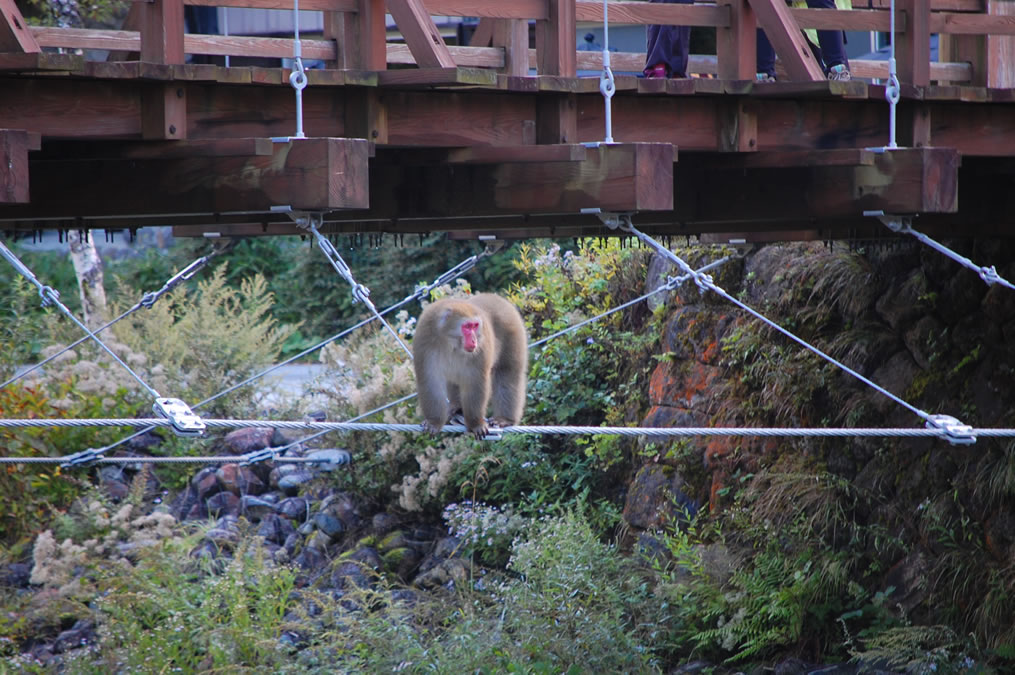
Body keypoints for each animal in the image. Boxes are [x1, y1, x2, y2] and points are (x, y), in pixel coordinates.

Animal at [412, 292, 527, 434]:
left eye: (475, 326)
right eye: (467, 326)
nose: (474, 340)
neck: (449, 342)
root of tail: (496, 297)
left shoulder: (481, 348)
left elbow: (476, 381)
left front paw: (475, 423)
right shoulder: (424, 341)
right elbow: (430, 380)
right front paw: (434, 421)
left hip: (513, 331)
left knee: (507, 373)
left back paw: (505, 419)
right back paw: (456, 406)